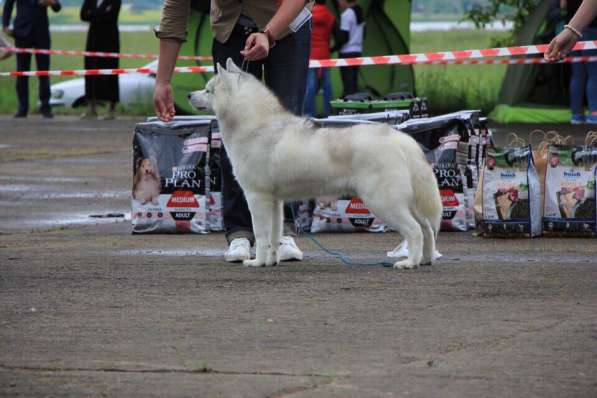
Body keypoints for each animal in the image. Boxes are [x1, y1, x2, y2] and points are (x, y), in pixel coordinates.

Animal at [189, 59, 440, 268]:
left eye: (209, 90)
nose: (190, 94)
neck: (255, 126)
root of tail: (401, 139)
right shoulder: (275, 201)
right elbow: (273, 236)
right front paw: (271, 262)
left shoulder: (257, 196)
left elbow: (261, 235)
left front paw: (257, 262)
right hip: (406, 202)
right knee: (427, 229)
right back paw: (426, 259)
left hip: (384, 202)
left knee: (415, 231)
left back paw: (409, 262)